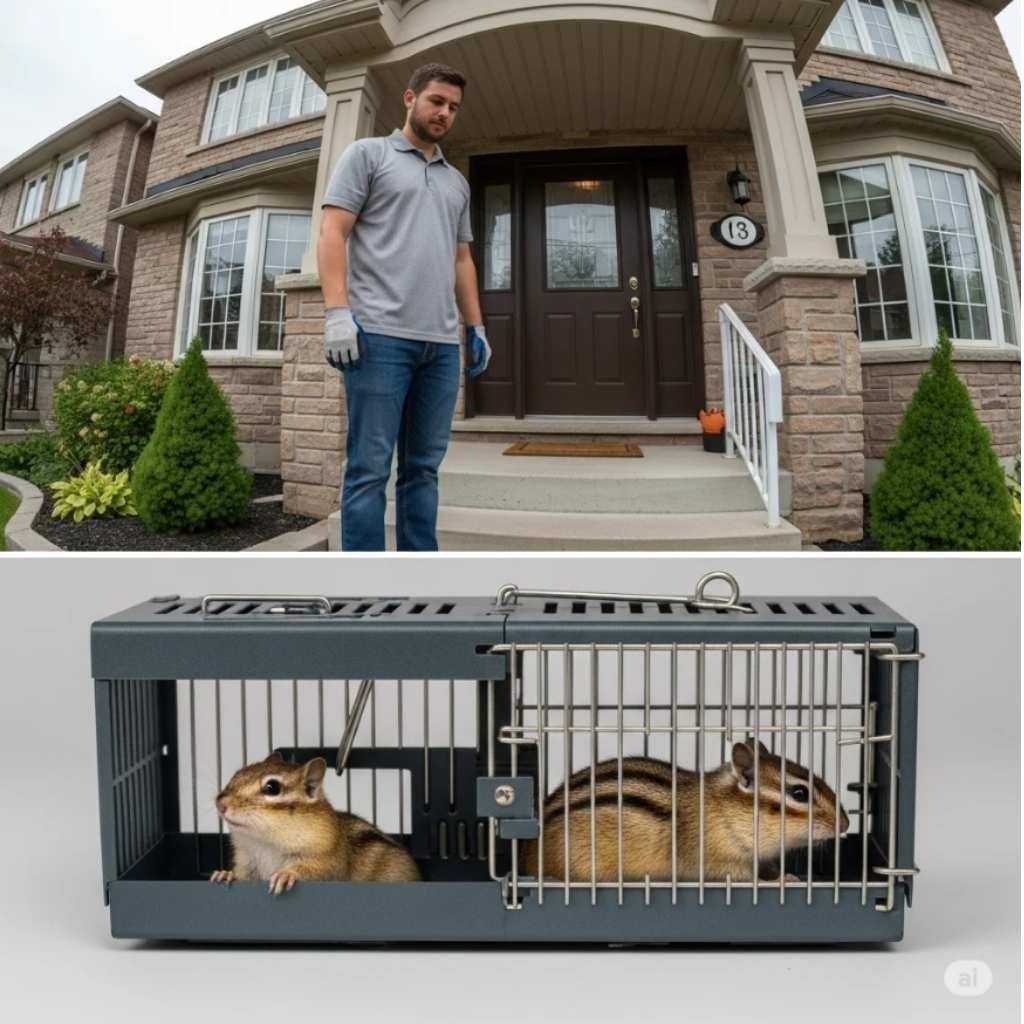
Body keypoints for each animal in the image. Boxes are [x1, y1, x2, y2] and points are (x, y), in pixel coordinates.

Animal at [210, 752, 421, 895]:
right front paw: (225, 874)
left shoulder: (327, 859)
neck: (264, 844)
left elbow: (316, 871)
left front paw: (287, 874)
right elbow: (242, 876)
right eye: (237, 774)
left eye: (272, 787)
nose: (220, 803)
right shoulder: (247, 863)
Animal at [523, 739, 849, 883]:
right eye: (799, 793)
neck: (723, 811)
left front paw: (784, 874)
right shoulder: (716, 860)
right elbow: (745, 878)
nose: (845, 824)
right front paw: (780, 881)